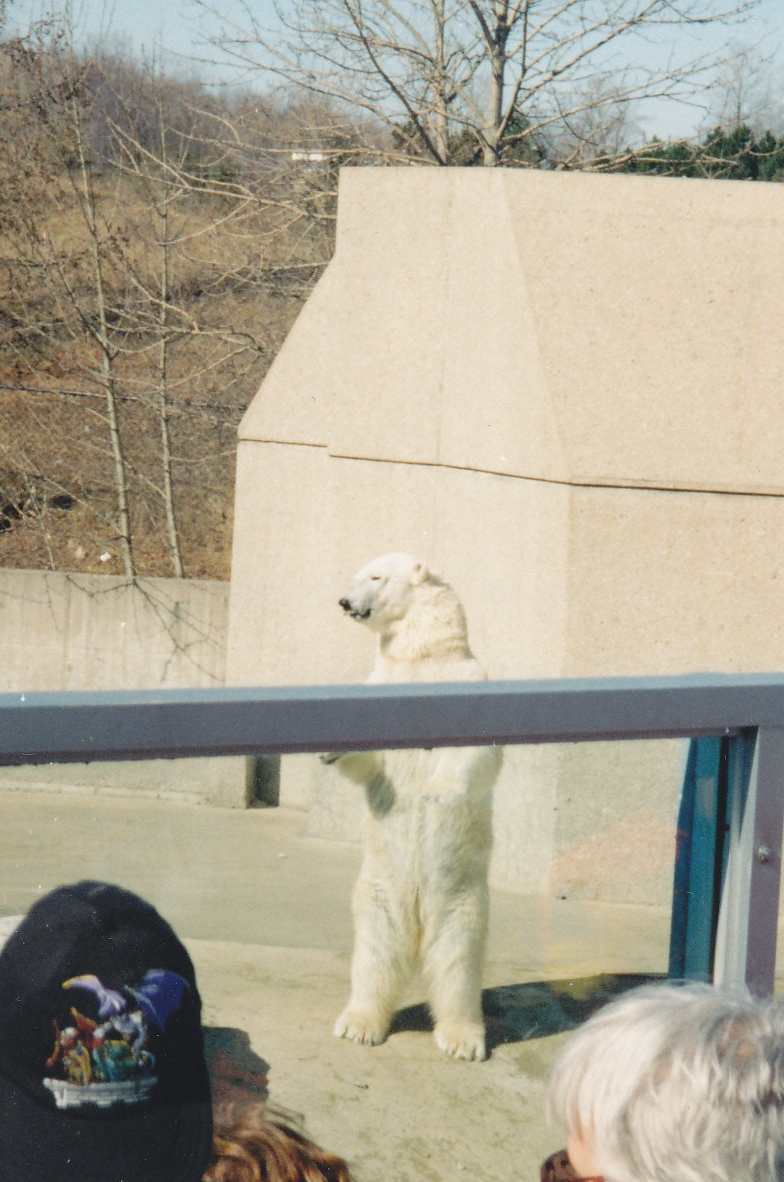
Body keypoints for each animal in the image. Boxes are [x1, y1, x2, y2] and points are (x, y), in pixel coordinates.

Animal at [323, 552, 503, 1061]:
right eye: (358, 574)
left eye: (375, 576)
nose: (344, 601)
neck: (423, 659)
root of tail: (419, 932)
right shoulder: (378, 685)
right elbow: (370, 760)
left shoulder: (468, 681)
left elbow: (476, 748)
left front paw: (438, 792)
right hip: (379, 892)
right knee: (374, 956)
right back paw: (359, 1023)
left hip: (464, 901)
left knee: (458, 964)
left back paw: (462, 1039)